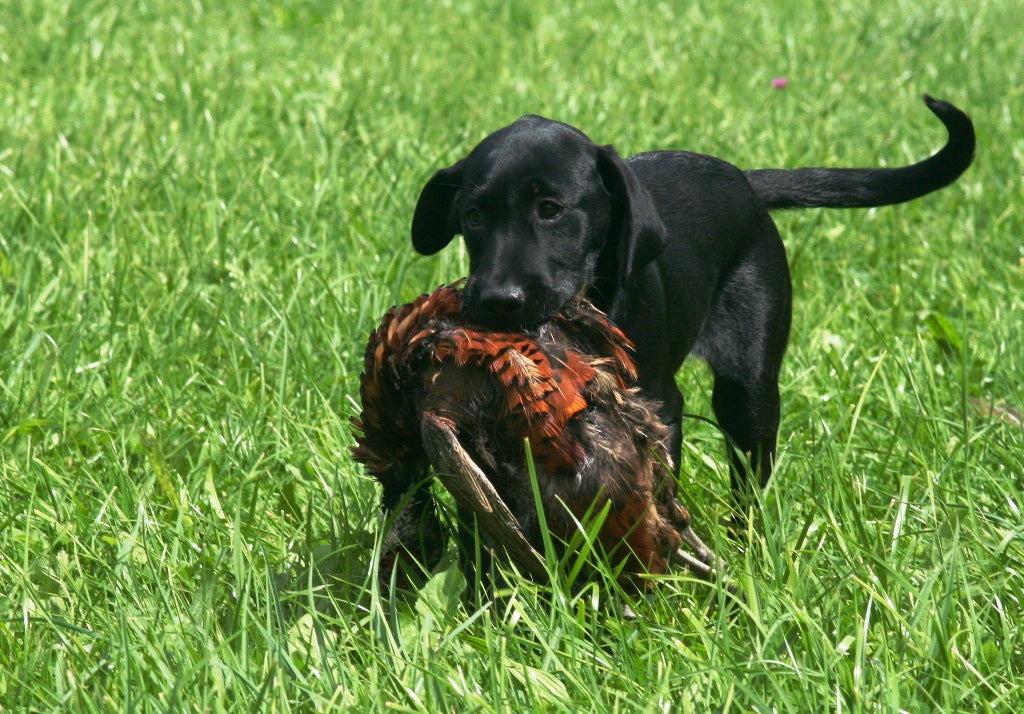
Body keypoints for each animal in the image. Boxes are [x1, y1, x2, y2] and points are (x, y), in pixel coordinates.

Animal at [409, 94, 974, 506]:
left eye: (551, 209)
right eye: (472, 217)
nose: (496, 300)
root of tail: (745, 182)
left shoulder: (658, 404)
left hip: (748, 385)